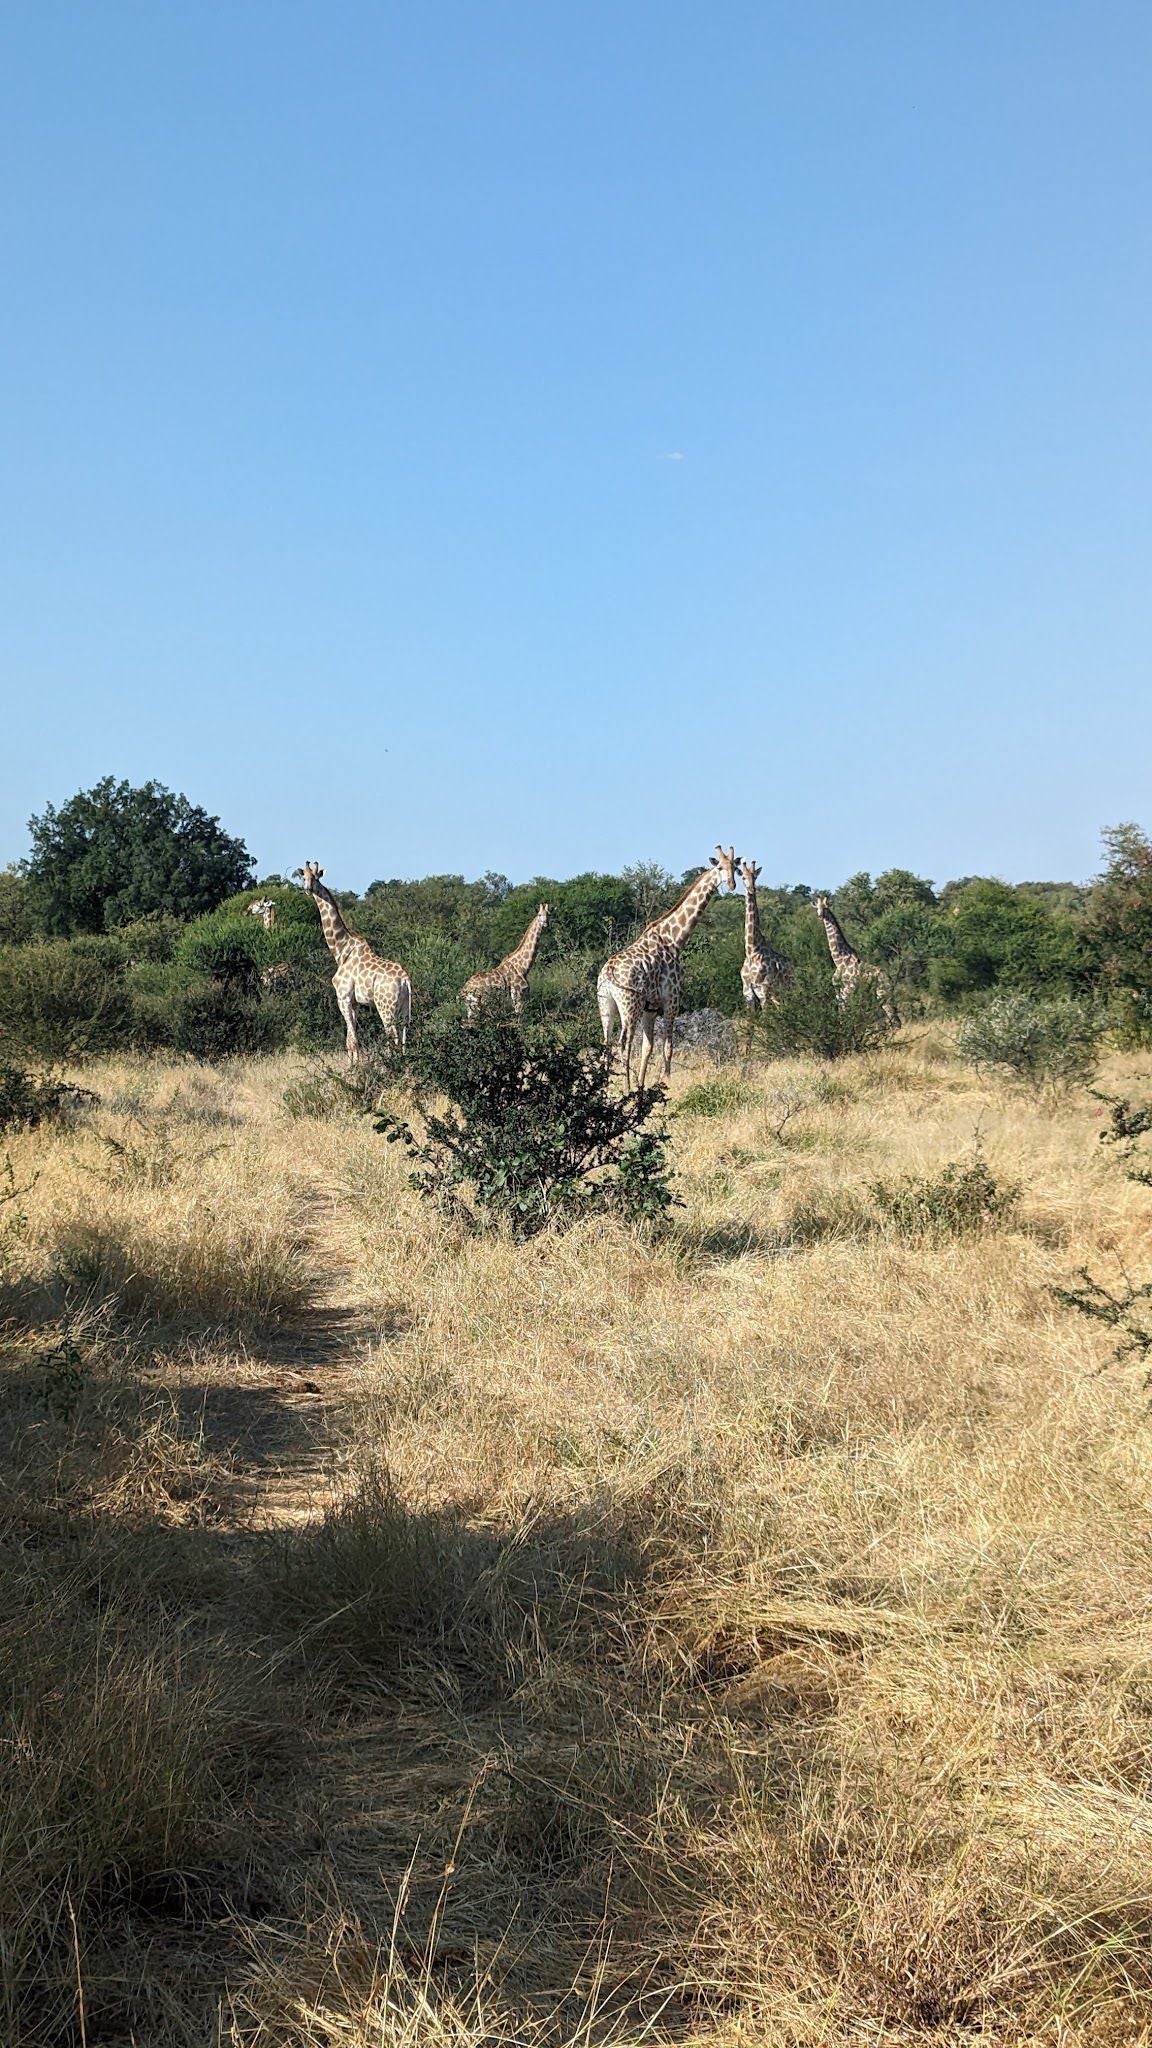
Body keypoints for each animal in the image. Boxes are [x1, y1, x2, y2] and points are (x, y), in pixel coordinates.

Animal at [303, 860, 409, 1056]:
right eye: (303, 877)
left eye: (316, 877)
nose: (308, 889)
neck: (342, 950)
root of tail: (405, 980)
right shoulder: (355, 1003)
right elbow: (350, 1039)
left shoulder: (343, 997)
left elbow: (352, 1041)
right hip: (405, 1009)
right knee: (405, 1036)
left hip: (385, 1007)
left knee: (394, 1037)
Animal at [594, 843, 737, 1089]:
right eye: (719, 867)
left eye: (735, 867)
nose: (731, 884)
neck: (674, 939)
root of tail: (609, 973)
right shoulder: (672, 998)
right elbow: (668, 1046)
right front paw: (665, 1082)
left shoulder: (650, 1007)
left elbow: (648, 1047)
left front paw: (642, 1086)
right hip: (629, 1005)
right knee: (624, 1043)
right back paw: (625, 1087)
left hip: (606, 1005)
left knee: (606, 1042)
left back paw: (603, 1086)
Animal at [733, 856, 787, 1007]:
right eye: (743, 877)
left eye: (755, 877)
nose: (752, 889)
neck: (752, 951)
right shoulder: (747, 991)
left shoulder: (762, 990)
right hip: (776, 995)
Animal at [811, 892, 893, 1024]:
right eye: (817, 907)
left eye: (825, 907)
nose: (820, 915)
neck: (840, 960)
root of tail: (890, 979)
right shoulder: (838, 992)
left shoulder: (848, 991)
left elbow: (844, 1014)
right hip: (883, 997)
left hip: (883, 996)